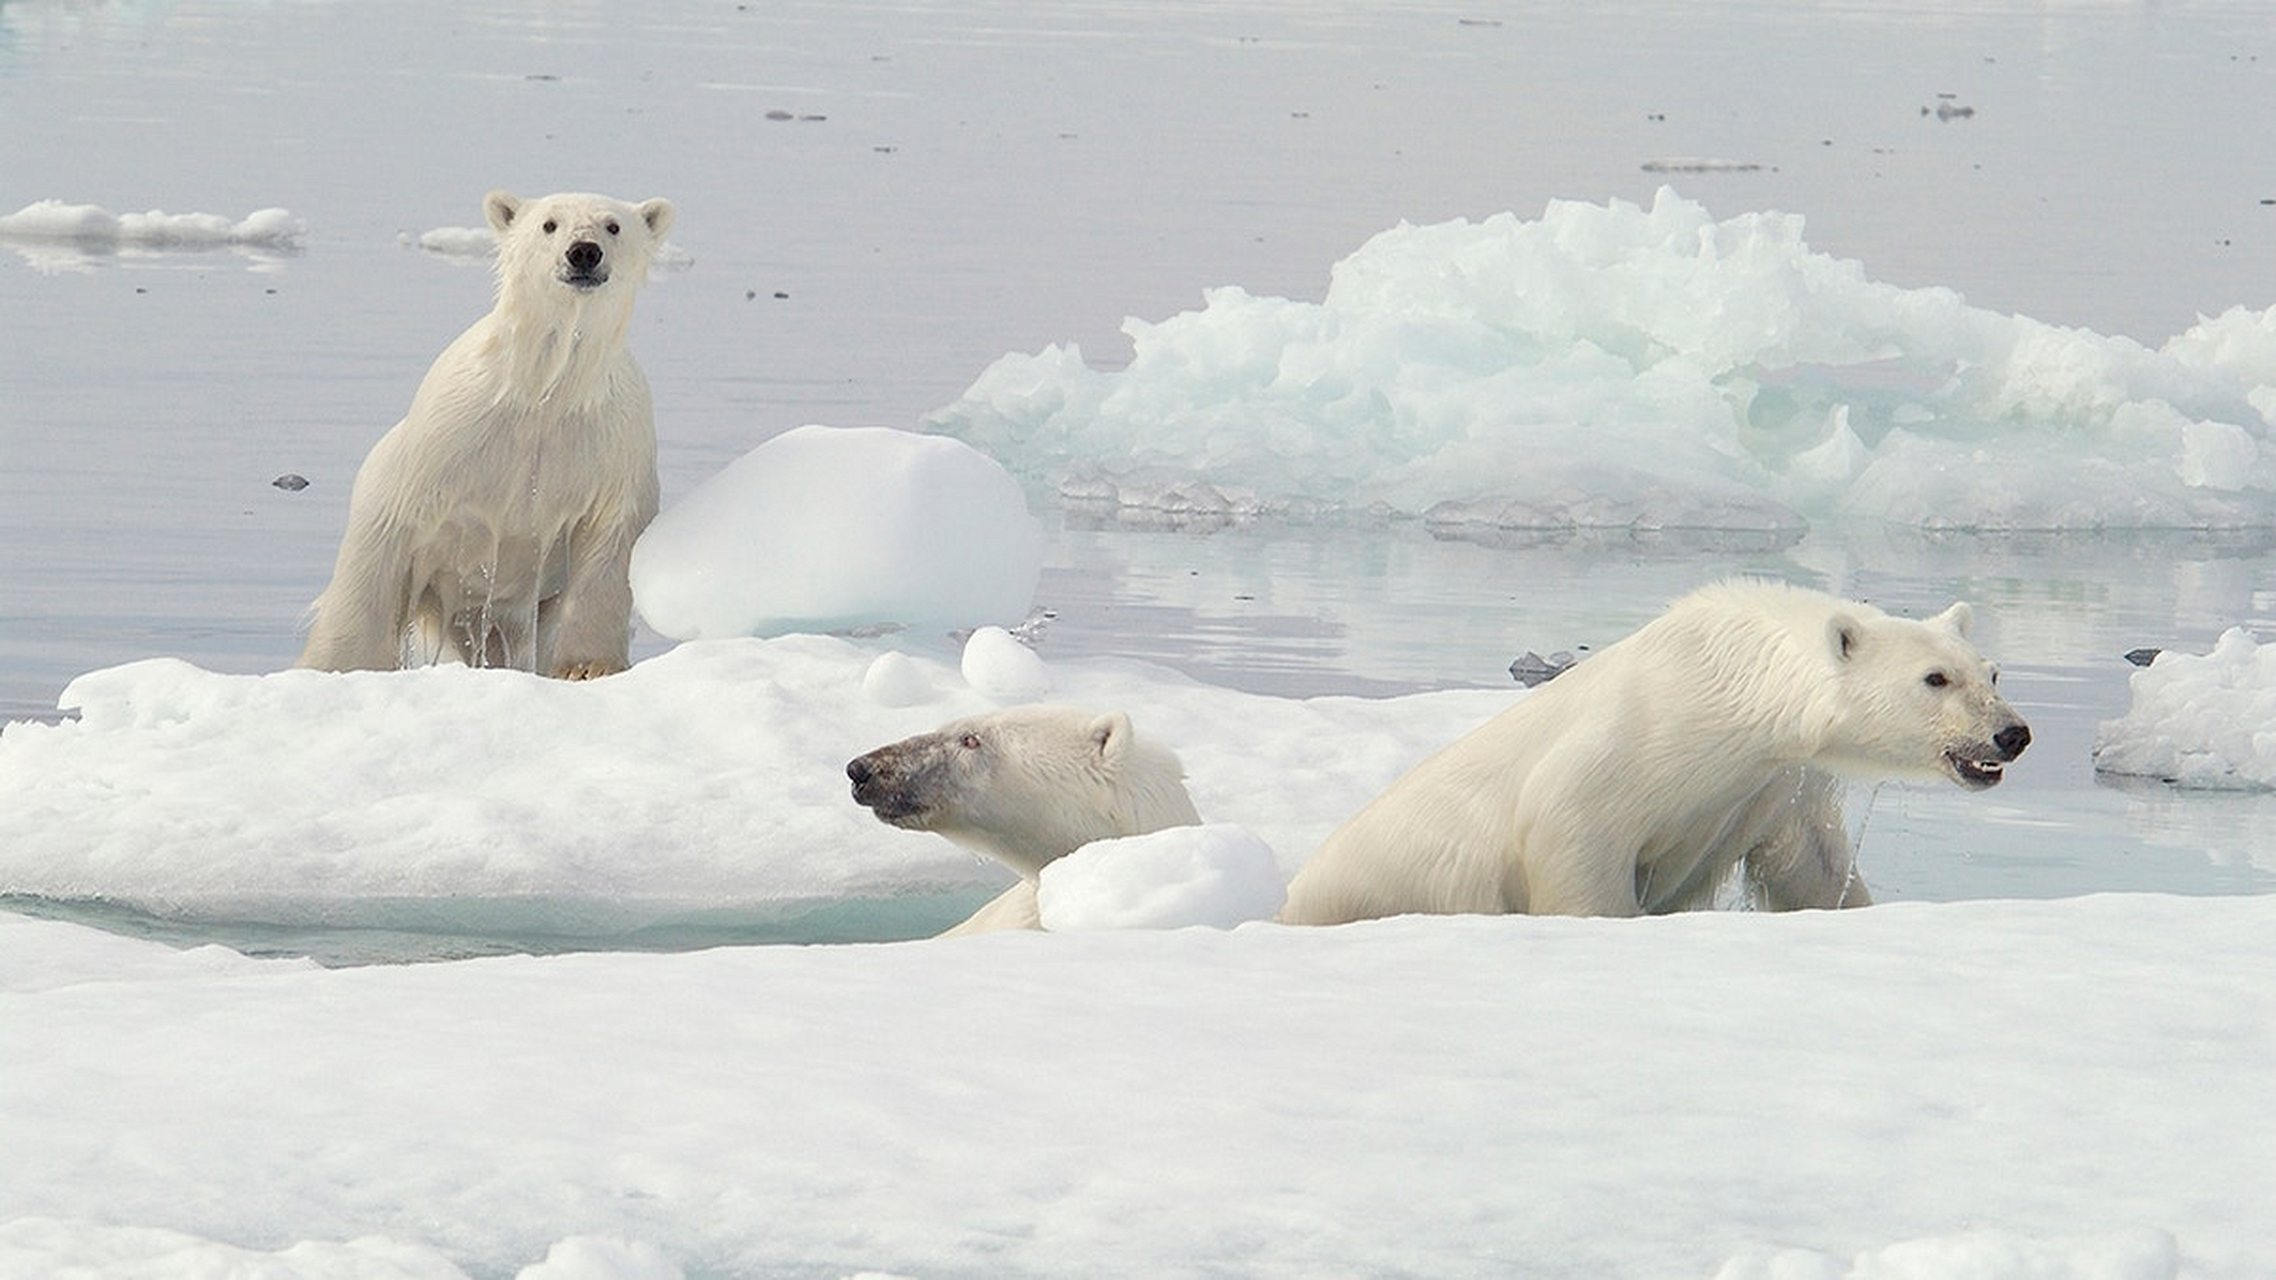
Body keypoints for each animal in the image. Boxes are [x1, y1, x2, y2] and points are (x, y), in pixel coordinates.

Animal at [291, 186, 673, 678]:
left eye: (613, 225)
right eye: (549, 224)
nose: (584, 252)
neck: (543, 389)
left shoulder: (610, 444)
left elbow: (610, 546)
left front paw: (588, 667)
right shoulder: (445, 442)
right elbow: (387, 539)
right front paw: (338, 665)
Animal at [1283, 576, 2030, 915]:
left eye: (1991, 672)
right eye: (1934, 678)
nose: (2012, 734)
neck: (1726, 685)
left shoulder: (1774, 780)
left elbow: (1810, 864)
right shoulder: (1629, 745)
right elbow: (1573, 836)